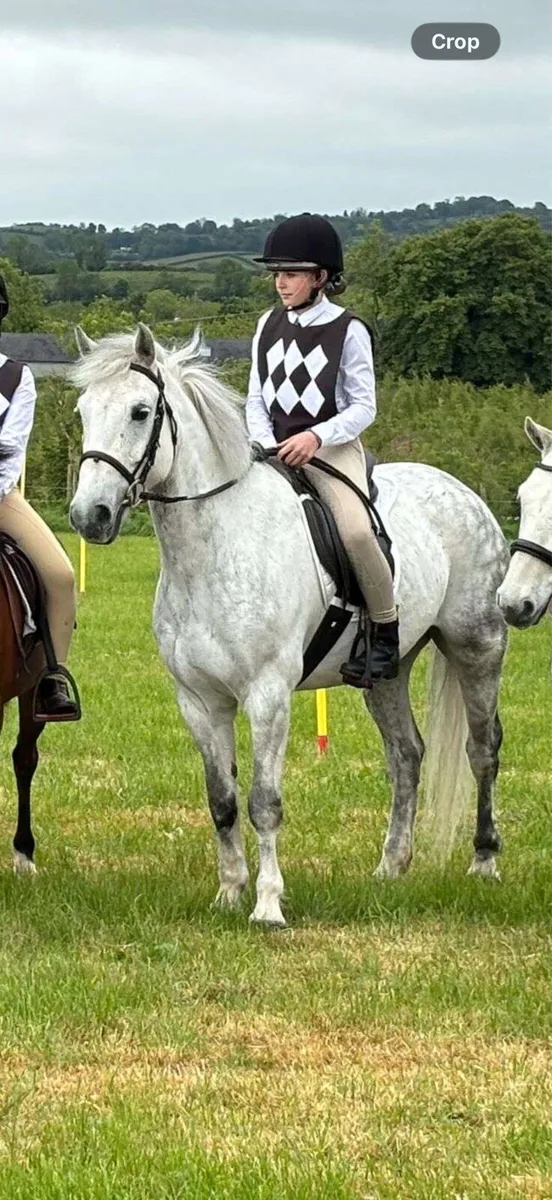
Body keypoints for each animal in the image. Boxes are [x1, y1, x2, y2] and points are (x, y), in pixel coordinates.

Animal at [69, 323, 510, 925]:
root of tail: (467, 494)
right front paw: (229, 894)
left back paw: (484, 862)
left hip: (476, 646)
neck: (214, 548)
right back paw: (390, 868)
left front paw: (268, 905)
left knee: (482, 748)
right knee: (406, 755)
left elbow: (264, 801)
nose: (88, 516)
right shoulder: (200, 700)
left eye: (140, 411)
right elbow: (222, 801)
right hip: (388, 673)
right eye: (83, 409)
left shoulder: (267, 695)